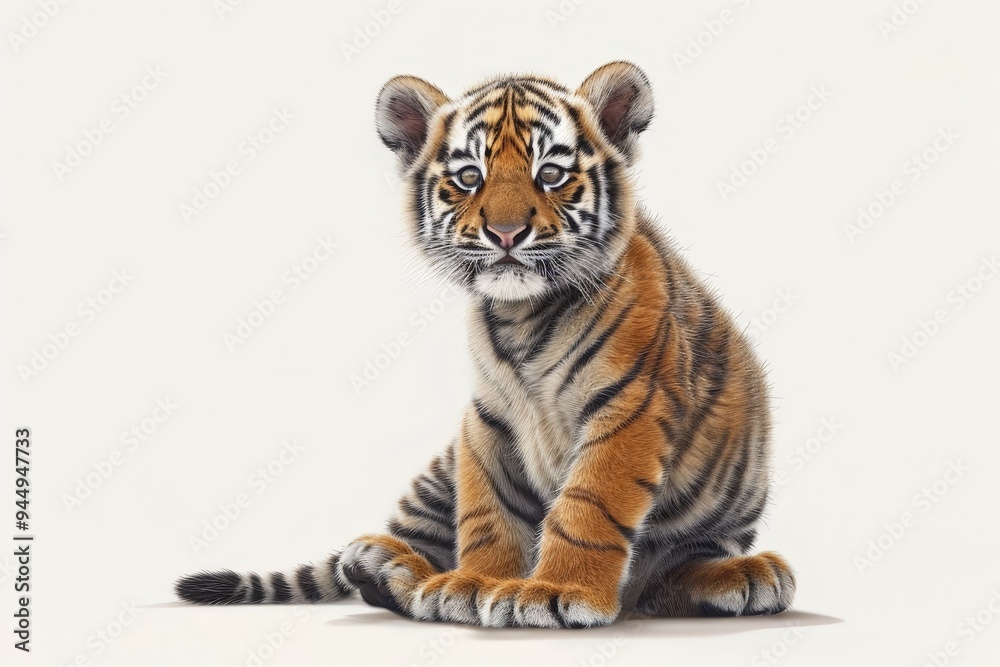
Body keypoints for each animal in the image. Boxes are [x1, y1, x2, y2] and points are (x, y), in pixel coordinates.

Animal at [175, 61, 796, 628]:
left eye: (551, 174)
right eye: (470, 177)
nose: (505, 233)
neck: (521, 316)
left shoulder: (630, 405)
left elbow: (587, 505)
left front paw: (558, 592)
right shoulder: (488, 416)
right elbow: (486, 509)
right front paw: (473, 586)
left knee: (669, 576)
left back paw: (749, 576)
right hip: (435, 477)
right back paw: (384, 564)